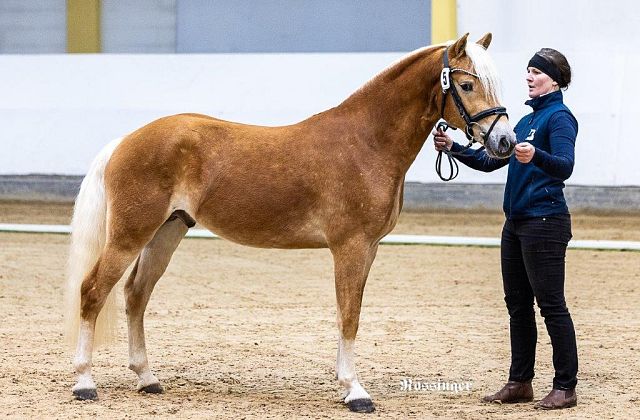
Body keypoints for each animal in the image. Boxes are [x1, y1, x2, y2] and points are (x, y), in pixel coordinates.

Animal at [63, 33, 516, 414]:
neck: (366, 142)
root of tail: (124, 141)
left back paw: (147, 378)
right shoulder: (350, 247)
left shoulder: (368, 249)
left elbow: (350, 312)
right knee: (93, 291)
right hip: (130, 235)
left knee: (135, 295)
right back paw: (85, 382)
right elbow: (348, 314)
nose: (505, 143)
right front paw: (355, 391)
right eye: (468, 85)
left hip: (166, 232)